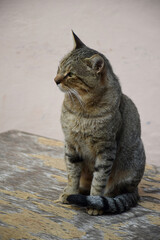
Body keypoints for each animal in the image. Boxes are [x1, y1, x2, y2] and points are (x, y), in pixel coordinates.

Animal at [54, 30, 146, 216]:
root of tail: (135, 190)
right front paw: (70, 192)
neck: (81, 109)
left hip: (131, 165)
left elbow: (99, 180)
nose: (55, 80)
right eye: (59, 67)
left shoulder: (106, 149)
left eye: (70, 74)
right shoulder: (71, 145)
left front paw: (94, 203)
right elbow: (72, 174)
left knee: (113, 191)